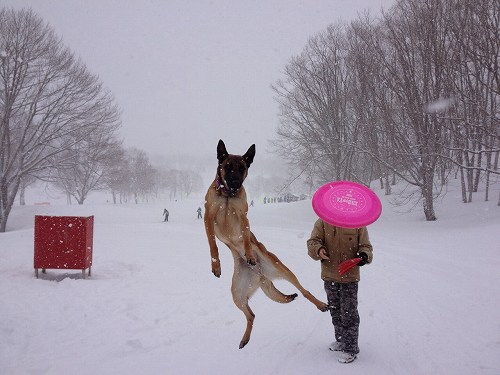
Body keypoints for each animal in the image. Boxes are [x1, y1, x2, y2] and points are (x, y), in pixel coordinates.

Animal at [203, 140, 328, 350]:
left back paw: (320, 304)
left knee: (304, 291)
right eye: (228, 167)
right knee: (252, 315)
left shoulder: (243, 217)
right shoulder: (208, 217)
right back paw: (245, 338)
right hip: (237, 294)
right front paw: (216, 264)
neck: (228, 195)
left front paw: (248, 254)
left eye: (242, 168)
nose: (236, 183)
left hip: (283, 269)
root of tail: (261, 275)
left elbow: (246, 238)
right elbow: (213, 243)